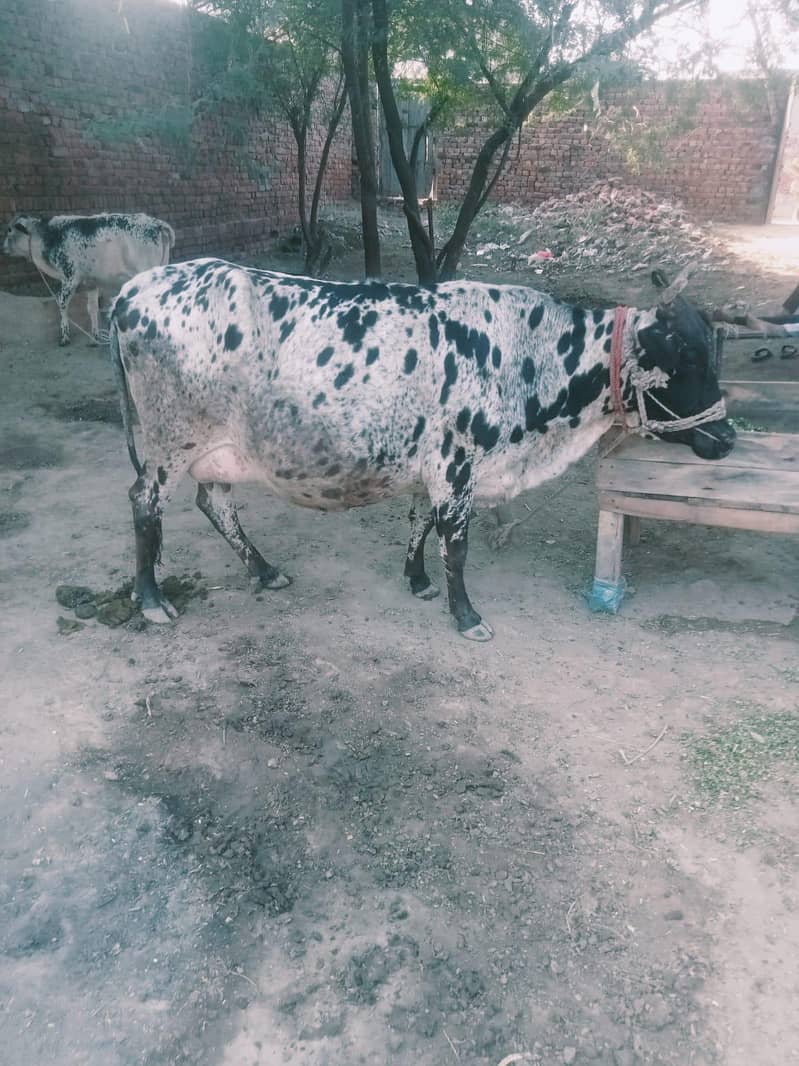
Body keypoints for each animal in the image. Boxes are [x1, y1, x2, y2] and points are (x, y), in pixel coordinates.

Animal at [2, 212, 175, 346]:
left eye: (10, 229)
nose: (1, 248)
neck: (47, 235)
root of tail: (157, 224)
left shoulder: (70, 277)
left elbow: (62, 304)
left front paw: (64, 337)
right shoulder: (91, 282)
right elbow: (92, 308)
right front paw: (94, 338)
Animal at [109, 258, 735, 641]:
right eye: (686, 358)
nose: (726, 438)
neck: (527, 355)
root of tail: (132, 290)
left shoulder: (432, 466)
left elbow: (420, 524)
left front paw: (416, 580)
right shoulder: (458, 467)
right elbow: (455, 544)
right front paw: (466, 615)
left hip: (214, 447)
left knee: (214, 504)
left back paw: (264, 571)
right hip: (169, 439)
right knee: (145, 503)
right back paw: (151, 599)